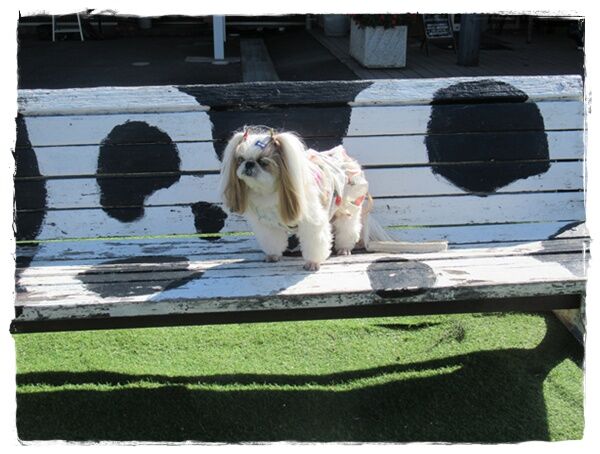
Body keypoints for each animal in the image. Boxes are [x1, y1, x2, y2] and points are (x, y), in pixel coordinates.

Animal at [219, 126, 447, 271]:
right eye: (240, 159)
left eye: (264, 162)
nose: (248, 164)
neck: (268, 193)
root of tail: (346, 157)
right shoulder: (266, 225)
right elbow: (272, 241)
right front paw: (273, 256)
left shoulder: (312, 223)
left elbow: (315, 242)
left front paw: (313, 263)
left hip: (348, 207)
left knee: (349, 229)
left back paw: (344, 248)